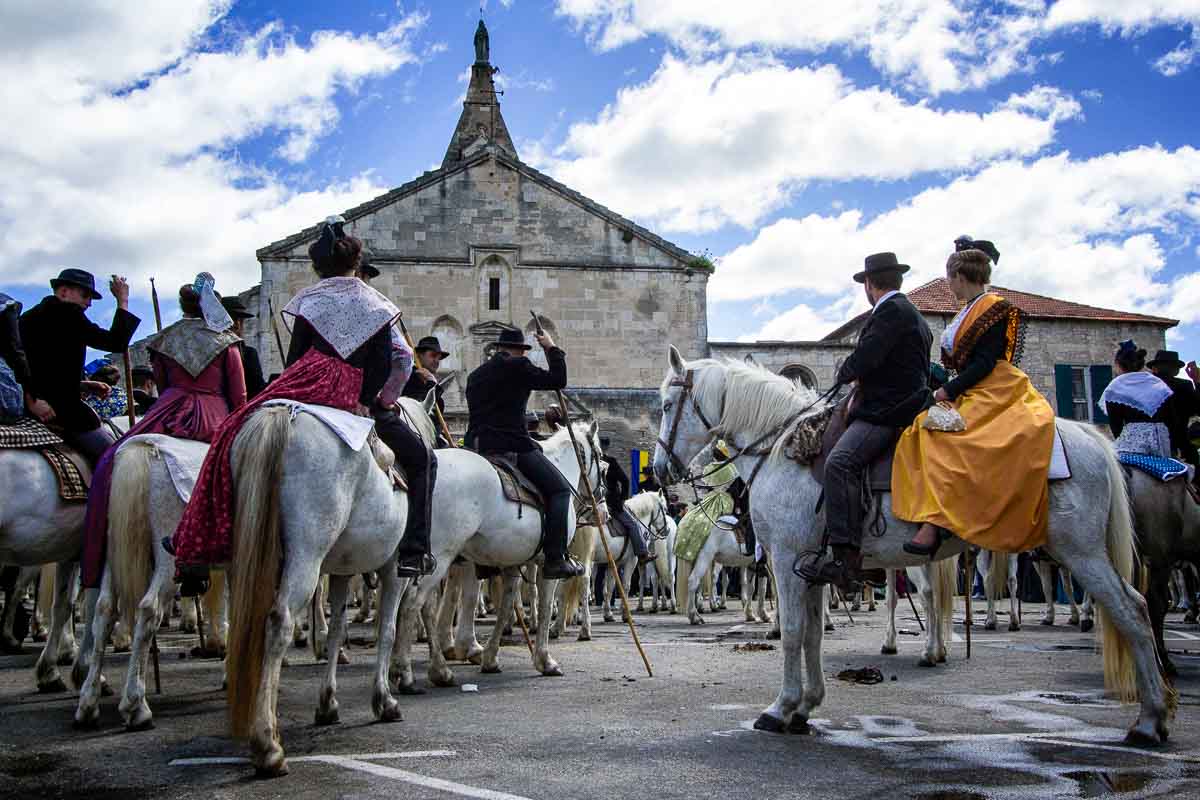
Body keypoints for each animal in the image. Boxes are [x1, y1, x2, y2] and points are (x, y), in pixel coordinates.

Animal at [391, 422, 604, 690]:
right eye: (601, 460)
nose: (601, 502)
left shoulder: (512, 564)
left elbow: (506, 606)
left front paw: (491, 658)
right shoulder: (547, 564)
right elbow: (544, 606)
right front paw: (545, 660)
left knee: (419, 604)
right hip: (441, 554)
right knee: (413, 603)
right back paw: (417, 672)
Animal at [657, 350, 1171, 743]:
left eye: (664, 404)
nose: (662, 470)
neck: (782, 447)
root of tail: (1086, 436)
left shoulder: (784, 560)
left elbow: (795, 634)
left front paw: (780, 709)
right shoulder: (810, 567)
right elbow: (814, 636)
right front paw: (806, 707)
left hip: (1079, 551)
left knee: (1131, 611)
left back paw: (1149, 721)